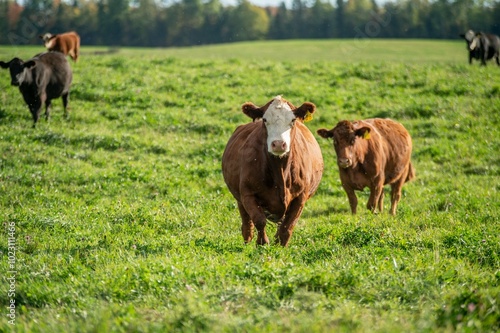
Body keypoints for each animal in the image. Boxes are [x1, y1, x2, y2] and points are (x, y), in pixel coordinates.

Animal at [223, 94, 324, 245]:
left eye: (293, 120)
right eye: (265, 120)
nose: (278, 144)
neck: (279, 169)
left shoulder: (301, 197)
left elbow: (288, 226)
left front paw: (280, 245)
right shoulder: (247, 194)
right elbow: (259, 221)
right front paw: (262, 243)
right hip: (240, 199)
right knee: (246, 223)